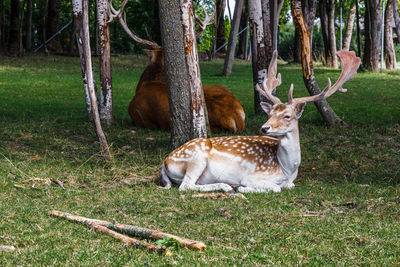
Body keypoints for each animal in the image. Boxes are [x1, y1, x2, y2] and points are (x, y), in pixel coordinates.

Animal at [161, 49, 360, 193]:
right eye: (269, 114)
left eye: (287, 116)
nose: (264, 128)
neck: (287, 169)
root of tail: (165, 162)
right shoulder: (253, 175)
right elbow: (276, 188)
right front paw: (242, 187)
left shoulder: (290, 180)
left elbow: (289, 186)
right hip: (196, 158)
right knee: (185, 186)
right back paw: (227, 186)